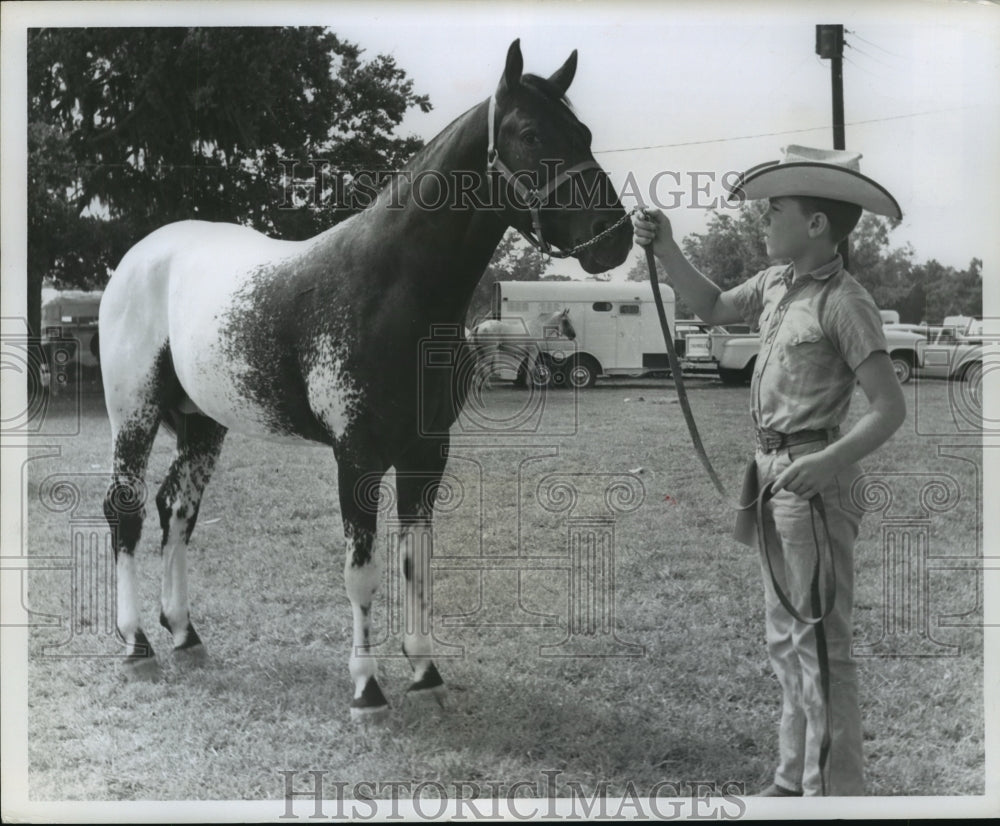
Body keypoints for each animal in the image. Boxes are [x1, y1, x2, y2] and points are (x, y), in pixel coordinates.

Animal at [97, 40, 628, 716]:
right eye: (531, 133)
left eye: (583, 133)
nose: (616, 237)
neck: (391, 288)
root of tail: (137, 258)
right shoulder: (357, 455)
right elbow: (362, 572)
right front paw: (366, 687)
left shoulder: (427, 452)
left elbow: (416, 563)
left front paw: (425, 669)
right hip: (134, 416)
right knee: (128, 512)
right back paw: (135, 643)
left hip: (203, 425)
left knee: (177, 510)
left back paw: (186, 633)